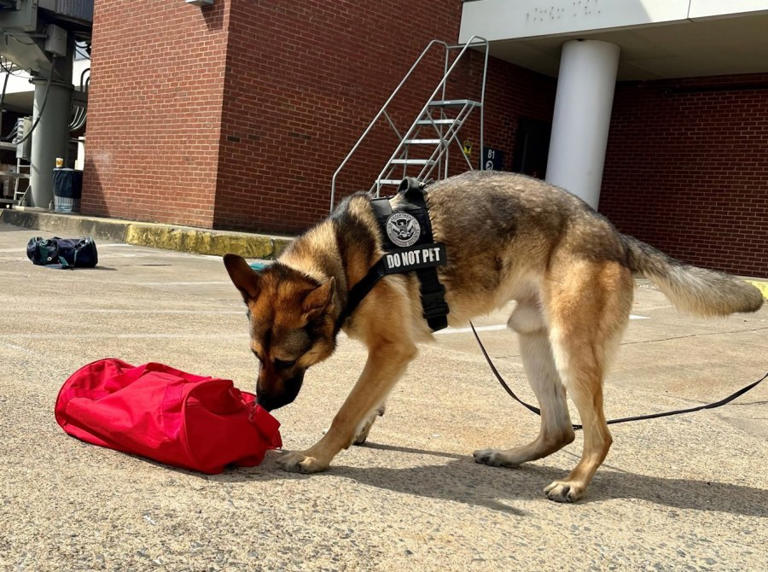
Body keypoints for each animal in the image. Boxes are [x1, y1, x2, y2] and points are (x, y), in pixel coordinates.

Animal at [224, 170, 760, 500]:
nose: (263, 404)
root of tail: (614, 236)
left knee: (598, 434)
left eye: (286, 361)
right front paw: (363, 427)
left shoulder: (392, 348)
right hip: (534, 342)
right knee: (560, 428)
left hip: (570, 349)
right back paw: (510, 456)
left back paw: (575, 483)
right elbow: (370, 401)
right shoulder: (395, 354)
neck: (344, 260)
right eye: (254, 355)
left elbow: (345, 409)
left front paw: (317, 455)